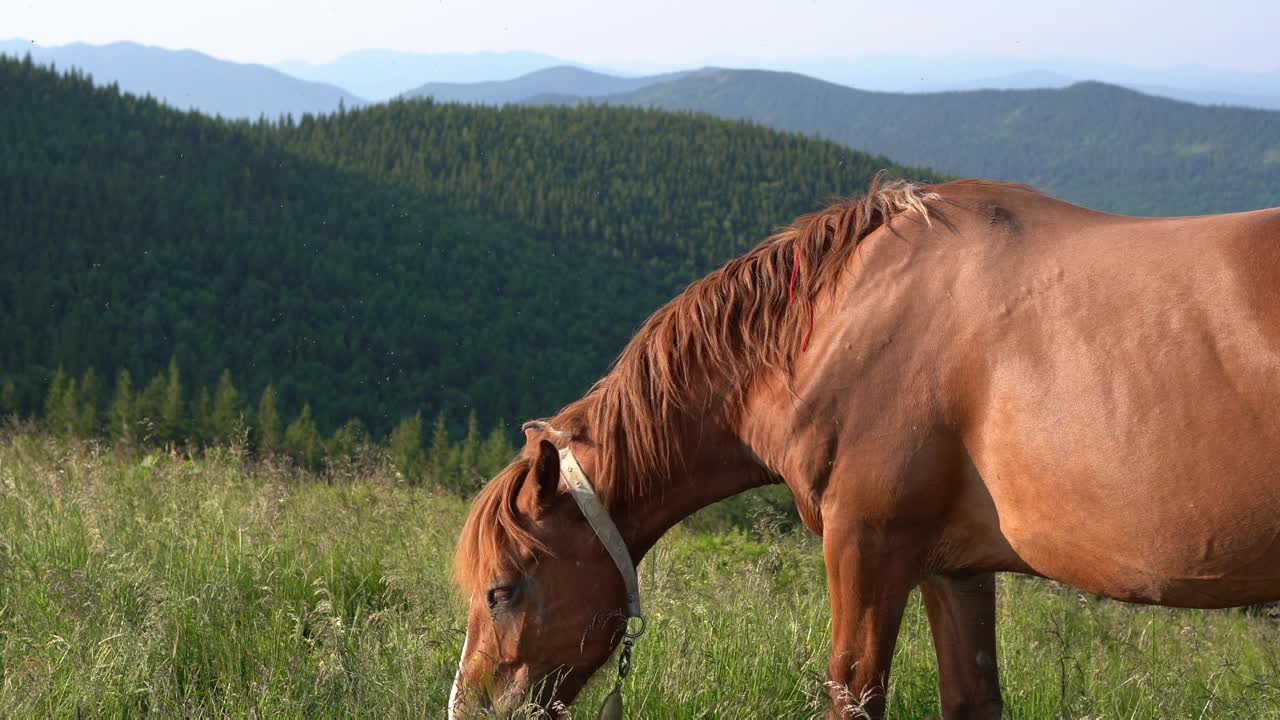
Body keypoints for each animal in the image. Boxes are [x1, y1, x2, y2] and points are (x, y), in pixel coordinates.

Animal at [445, 175, 1274, 717]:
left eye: (501, 590)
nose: (469, 706)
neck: (837, 322)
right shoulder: (954, 568)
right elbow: (972, 698)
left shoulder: (866, 545)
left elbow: (853, 692)